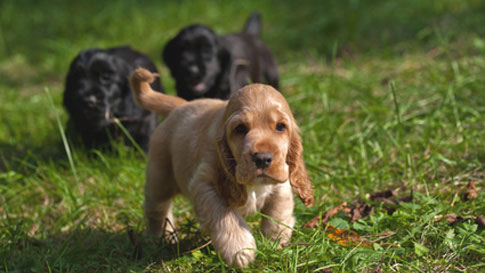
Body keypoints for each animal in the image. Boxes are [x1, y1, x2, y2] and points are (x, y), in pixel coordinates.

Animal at [130, 67, 312, 266]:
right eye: (240, 128)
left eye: (280, 127)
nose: (263, 159)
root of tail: (180, 106)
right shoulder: (206, 184)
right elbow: (225, 216)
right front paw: (239, 250)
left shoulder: (281, 182)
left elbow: (278, 213)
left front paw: (276, 243)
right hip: (159, 178)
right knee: (157, 209)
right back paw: (158, 238)